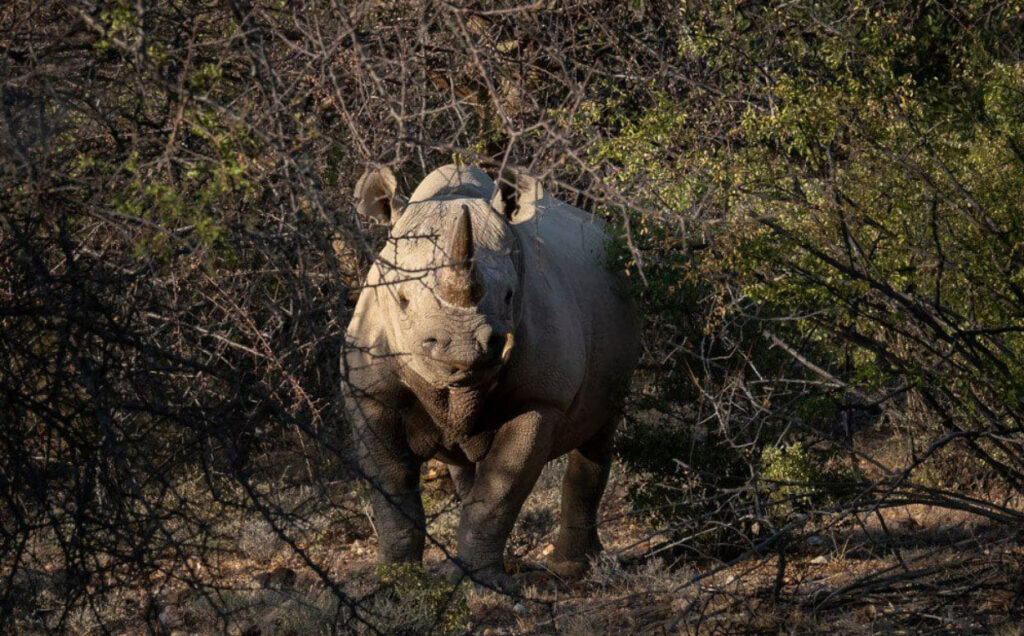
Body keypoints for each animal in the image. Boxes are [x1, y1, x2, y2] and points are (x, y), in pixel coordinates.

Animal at [343, 163, 639, 590]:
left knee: (599, 435)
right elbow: (392, 489)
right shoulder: (369, 392)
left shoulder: (540, 399)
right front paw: (395, 581)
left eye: (510, 295)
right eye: (402, 300)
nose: (465, 347)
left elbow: (499, 493)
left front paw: (483, 587)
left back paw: (573, 569)